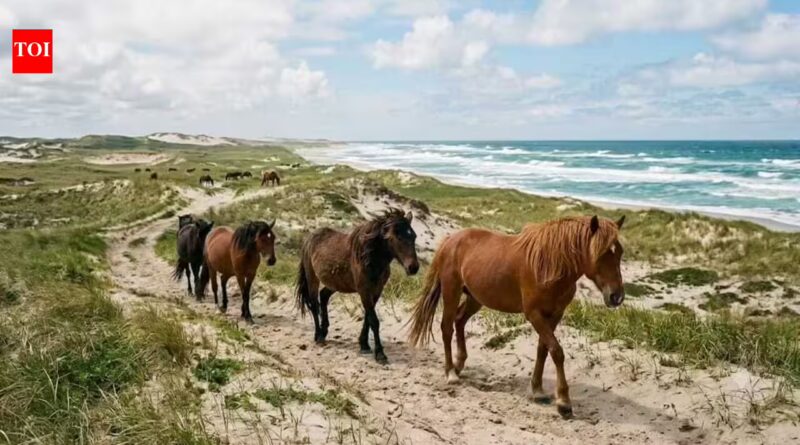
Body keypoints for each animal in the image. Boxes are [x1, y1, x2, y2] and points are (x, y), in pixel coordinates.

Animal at [296, 209, 420, 364]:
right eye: (397, 237)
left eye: (413, 236)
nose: (413, 268)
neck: (370, 257)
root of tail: (309, 238)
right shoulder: (364, 291)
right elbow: (374, 321)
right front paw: (380, 354)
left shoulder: (376, 291)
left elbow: (368, 318)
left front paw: (364, 344)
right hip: (312, 278)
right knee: (314, 304)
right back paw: (318, 336)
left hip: (335, 283)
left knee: (323, 296)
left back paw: (324, 332)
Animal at [408, 215, 626, 418]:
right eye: (601, 253)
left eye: (620, 252)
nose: (617, 296)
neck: (549, 264)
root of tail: (450, 239)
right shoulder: (534, 314)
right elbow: (556, 351)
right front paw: (563, 402)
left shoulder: (554, 315)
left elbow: (543, 350)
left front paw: (537, 390)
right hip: (451, 292)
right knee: (447, 328)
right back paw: (451, 372)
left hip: (475, 298)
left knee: (459, 320)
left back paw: (459, 364)